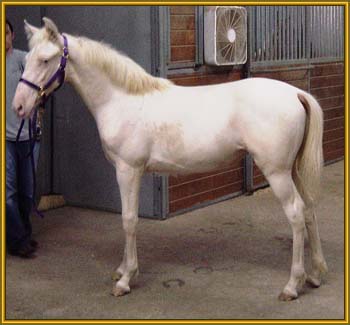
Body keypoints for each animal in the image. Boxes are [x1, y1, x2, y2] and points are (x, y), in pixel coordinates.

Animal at [12, 19, 326, 300]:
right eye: (27, 58)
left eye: (45, 60)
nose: (19, 107)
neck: (122, 99)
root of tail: (296, 93)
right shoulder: (128, 171)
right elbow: (127, 218)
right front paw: (122, 270)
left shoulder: (128, 170)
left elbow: (129, 220)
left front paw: (126, 280)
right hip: (293, 170)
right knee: (310, 210)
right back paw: (315, 274)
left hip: (277, 173)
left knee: (296, 214)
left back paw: (292, 285)